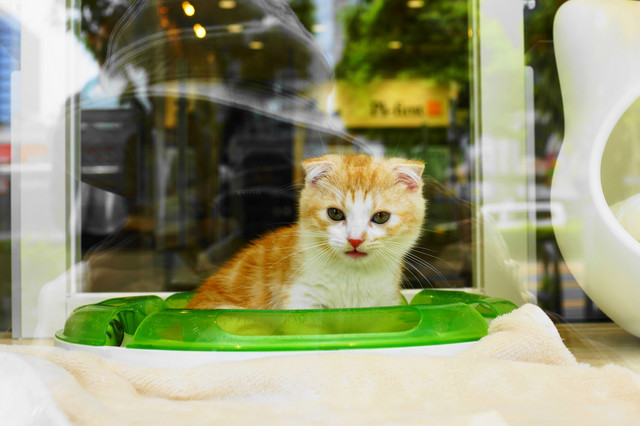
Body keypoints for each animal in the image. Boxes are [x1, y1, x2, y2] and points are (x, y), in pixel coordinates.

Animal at [186, 153, 426, 310]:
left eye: (381, 217)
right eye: (335, 213)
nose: (355, 239)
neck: (353, 276)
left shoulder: (386, 301)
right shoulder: (300, 298)